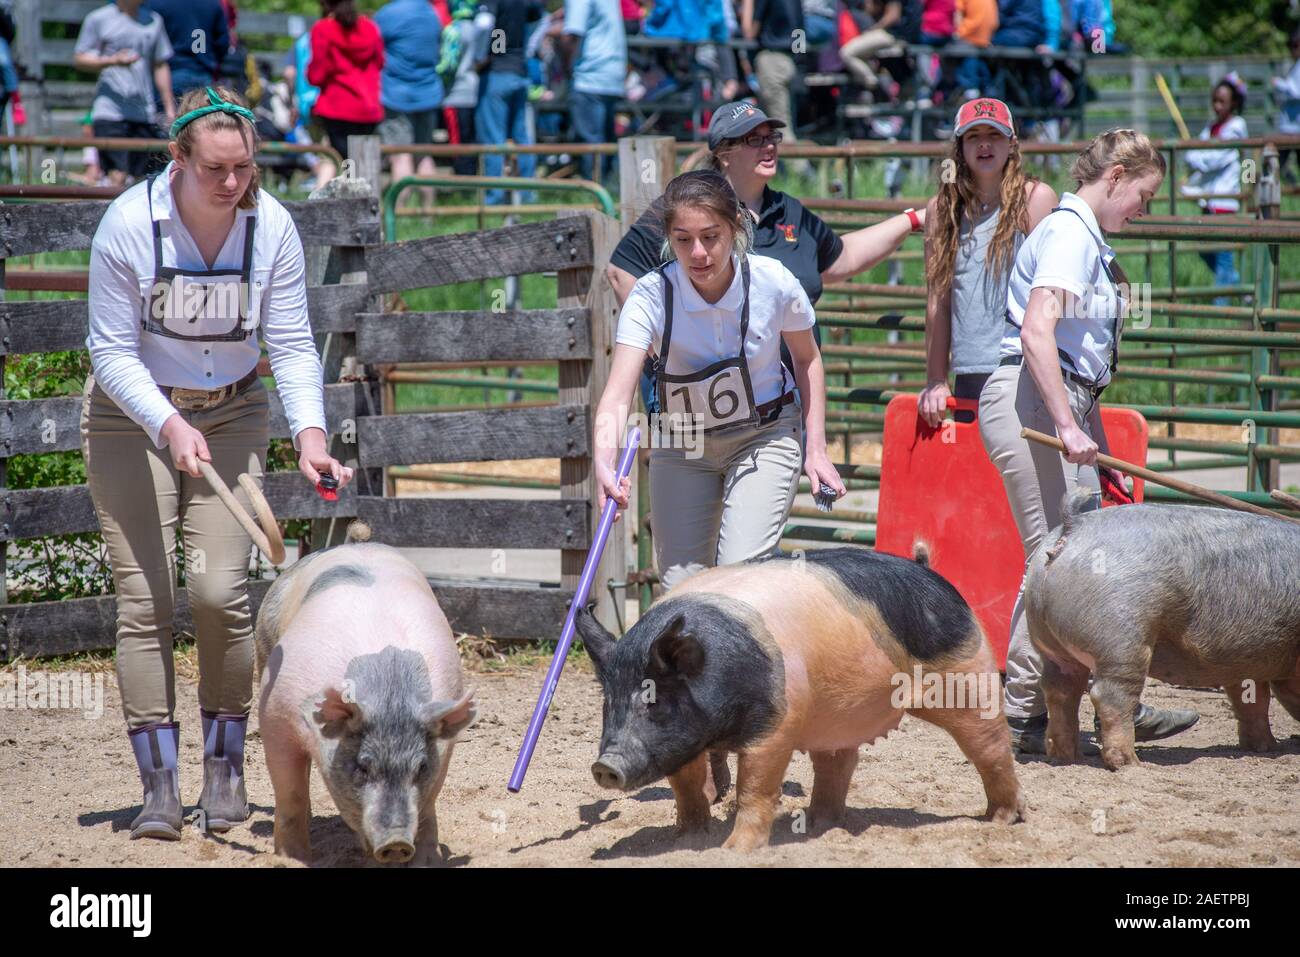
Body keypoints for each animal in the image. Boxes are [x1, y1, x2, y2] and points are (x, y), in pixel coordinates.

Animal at [254, 522, 478, 868]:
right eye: (362, 766)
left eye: (421, 767)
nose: (397, 843)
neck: (389, 696)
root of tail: (355, 543)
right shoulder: (275, 713)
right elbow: (290, 792)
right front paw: (293, 858)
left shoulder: (446, 745)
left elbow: (428, 804)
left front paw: (427, 860)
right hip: (264, 647)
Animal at [1029, 494, 1294, 769]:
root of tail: (1073, 526)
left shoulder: (1247, 660)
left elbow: (1253, 701)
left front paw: (1265, 748)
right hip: (1121, 639)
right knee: (1110, 696)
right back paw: (1132, 764)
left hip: (1051, 644)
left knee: (1059, 690)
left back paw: (1067, 757)